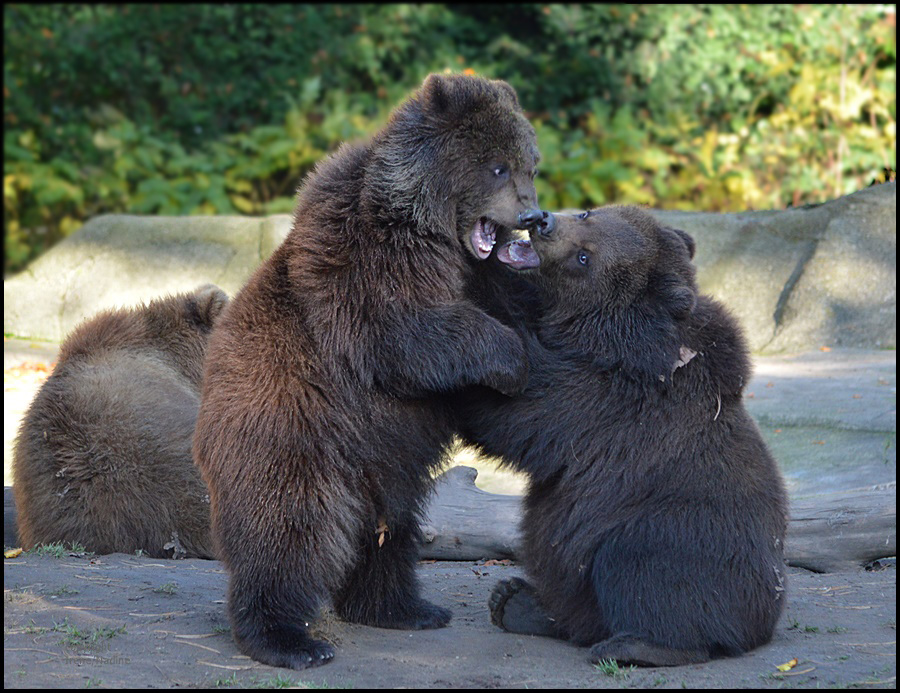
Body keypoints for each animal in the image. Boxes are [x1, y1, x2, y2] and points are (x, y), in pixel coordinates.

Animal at [192, 73, 540, 668]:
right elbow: (406, 333)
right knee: (287, 532)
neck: (433, 232)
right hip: (293, 436)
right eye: (497, 166)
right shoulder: (365, 263)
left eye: (531, 166)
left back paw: (404, 608)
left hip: (386, 462)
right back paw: (288, 639)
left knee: (391, 531)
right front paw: (512, 358)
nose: (533, 216)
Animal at [460, 205, 792, 664]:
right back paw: (514, 600)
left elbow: (518, 408)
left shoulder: (604, 400)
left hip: (682, 535)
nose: (544, 221)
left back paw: (636, 643)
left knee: (641, 568)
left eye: (584, 258)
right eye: (588, 213)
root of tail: (763, 626)